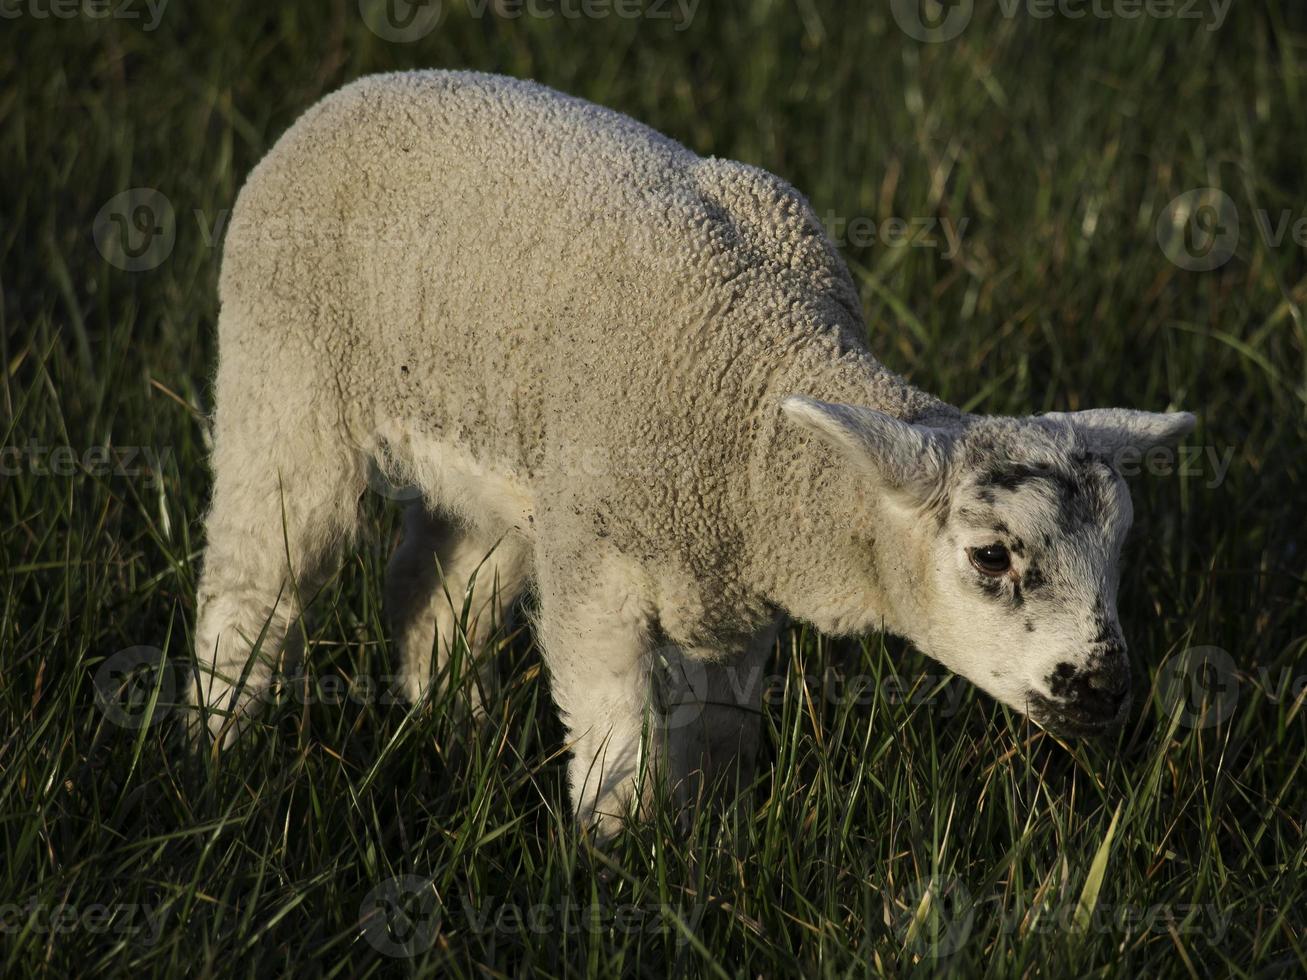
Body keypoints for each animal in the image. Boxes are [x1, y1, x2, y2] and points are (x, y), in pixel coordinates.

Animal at [189, 69, 1197, 836]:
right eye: (990, 557)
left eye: (1118, 550)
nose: (1105, 688)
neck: (756, 410)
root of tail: (361, 86)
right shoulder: (601, 570)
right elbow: (615, 746)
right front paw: (616, 868)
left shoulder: (727, 594)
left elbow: (713, 738)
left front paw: (709, 853)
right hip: (284, 380)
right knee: (255, 580)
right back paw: (216, 744)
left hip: (505, 474)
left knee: (431, 595)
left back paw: (452, 737)